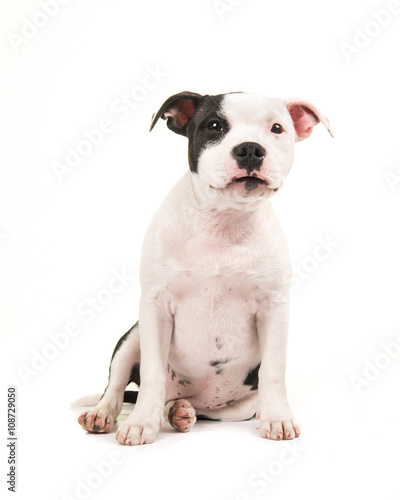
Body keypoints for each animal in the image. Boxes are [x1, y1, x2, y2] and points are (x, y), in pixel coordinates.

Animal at [77, 90, 332, 446]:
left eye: (277, 128)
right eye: (214, 126)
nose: (250, 148)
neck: (222, 222)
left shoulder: (274, 308)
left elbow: (273, 371)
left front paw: (278, 417)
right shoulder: (155, 307)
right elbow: (152, 372)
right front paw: (141, 423)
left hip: (235, 409)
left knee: (191, 407)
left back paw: (179, 413)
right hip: (133, 335)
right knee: (116, 386)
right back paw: (105, 414)